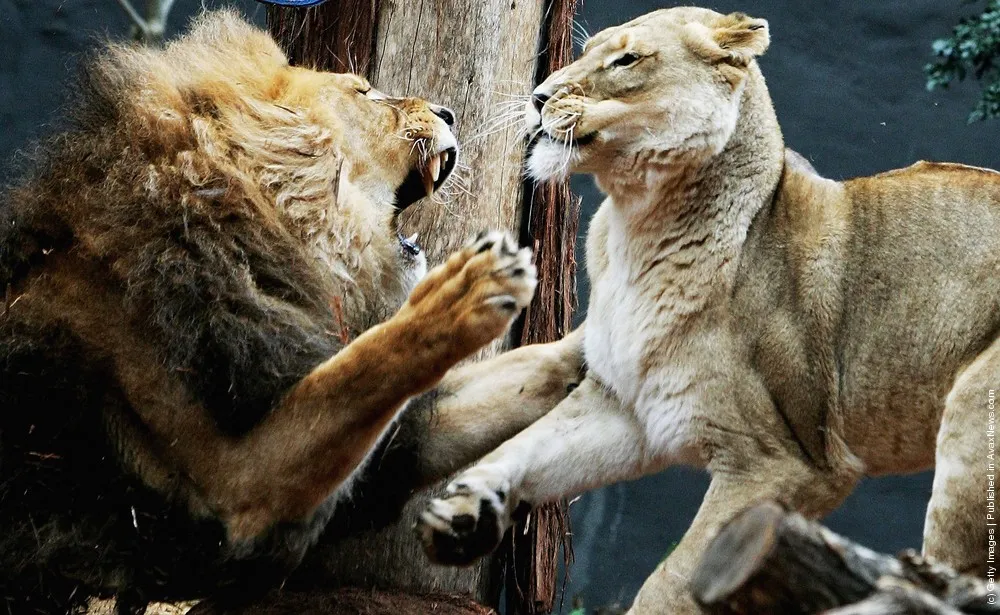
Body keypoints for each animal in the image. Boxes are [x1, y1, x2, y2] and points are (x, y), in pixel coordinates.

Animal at [0, 11, 585, 613]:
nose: (448, 113)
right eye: (364, 92)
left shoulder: (387, 440)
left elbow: (510, 375)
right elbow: (362, 369)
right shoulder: (229, 488)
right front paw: (462, 290)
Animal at [418, 6, 1000, 613]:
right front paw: (466, 506)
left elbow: (673, 582)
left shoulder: (787, 464)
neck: (635, 233)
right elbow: (529, 445)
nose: (537, 96)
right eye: (588, 50)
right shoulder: (626, 408)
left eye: (627, 60)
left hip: (972, 433)